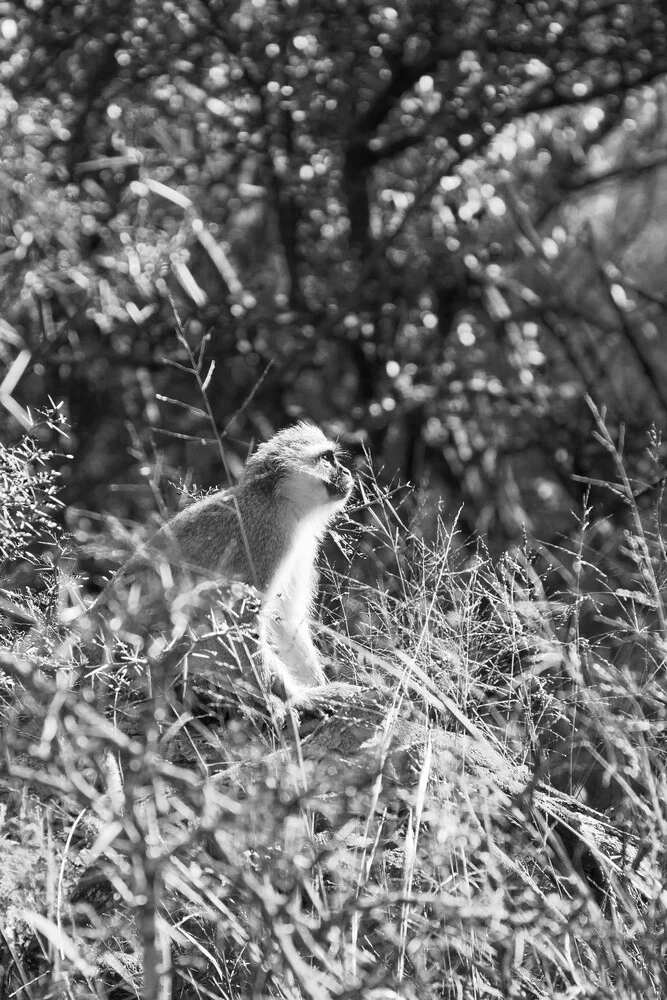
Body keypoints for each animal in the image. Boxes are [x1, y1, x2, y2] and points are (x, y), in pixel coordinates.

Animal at [95, 426, 354, 700]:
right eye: (327, 458)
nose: (347, 472)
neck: (279, 499)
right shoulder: (264, 538)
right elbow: (238, 619)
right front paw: (296, 699)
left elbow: (286, 619)